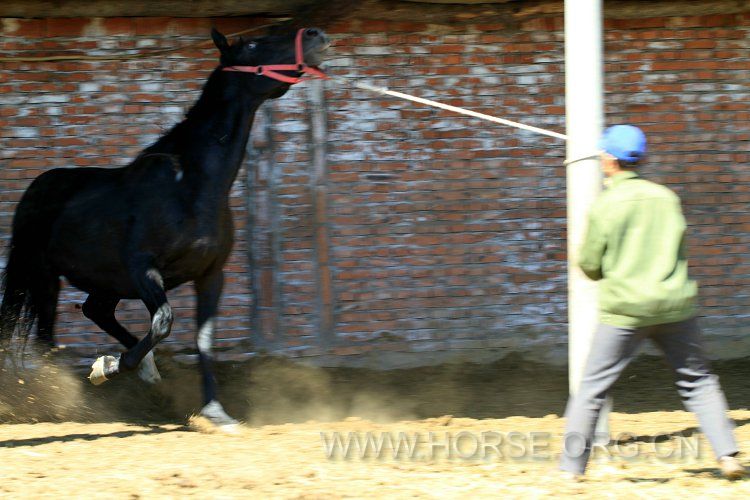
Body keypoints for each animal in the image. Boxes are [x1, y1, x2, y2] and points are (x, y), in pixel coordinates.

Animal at [0, 27, 328, 426]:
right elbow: (163, 322)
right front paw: (106, 367)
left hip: (106, 282)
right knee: (46, 337)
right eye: (252, 44)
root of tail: (39, 184)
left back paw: (145, 373)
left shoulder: (210, 275)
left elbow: (204, 342)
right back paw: (68, 401)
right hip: (44, 275)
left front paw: (216, 413)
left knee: (95, 311)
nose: (316, 35)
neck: (189, 185)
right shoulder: (144, 269)